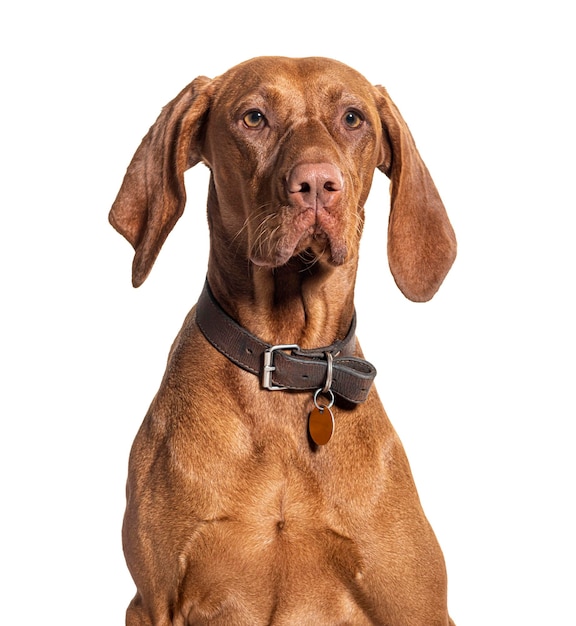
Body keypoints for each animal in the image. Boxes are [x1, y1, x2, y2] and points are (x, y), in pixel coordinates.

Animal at [110, 56, 456, 620]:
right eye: (254, 117)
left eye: (353, 118)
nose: (317, 183)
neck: (289, 364)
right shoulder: (153, 605)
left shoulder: (417, 608)